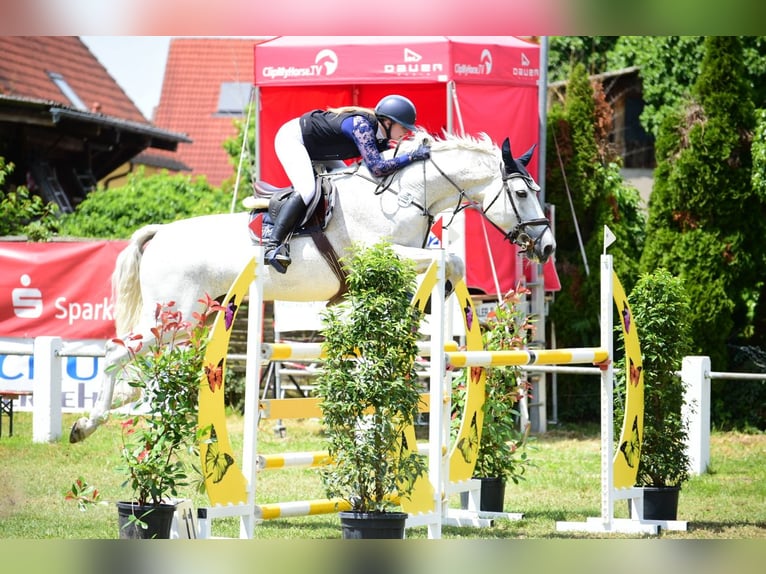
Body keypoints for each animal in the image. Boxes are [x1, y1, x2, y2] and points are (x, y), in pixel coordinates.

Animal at [69, 133, 556, 444]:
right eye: (520, 193)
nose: (548, 246)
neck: (404, 195)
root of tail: (160, 234)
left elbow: (447, 260)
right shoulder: (377, 254)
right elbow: (448, 259)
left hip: (188, 320)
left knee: (142, 359)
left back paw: (122, 402)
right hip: (175, 315)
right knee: (116, 351)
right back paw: (86, 424)